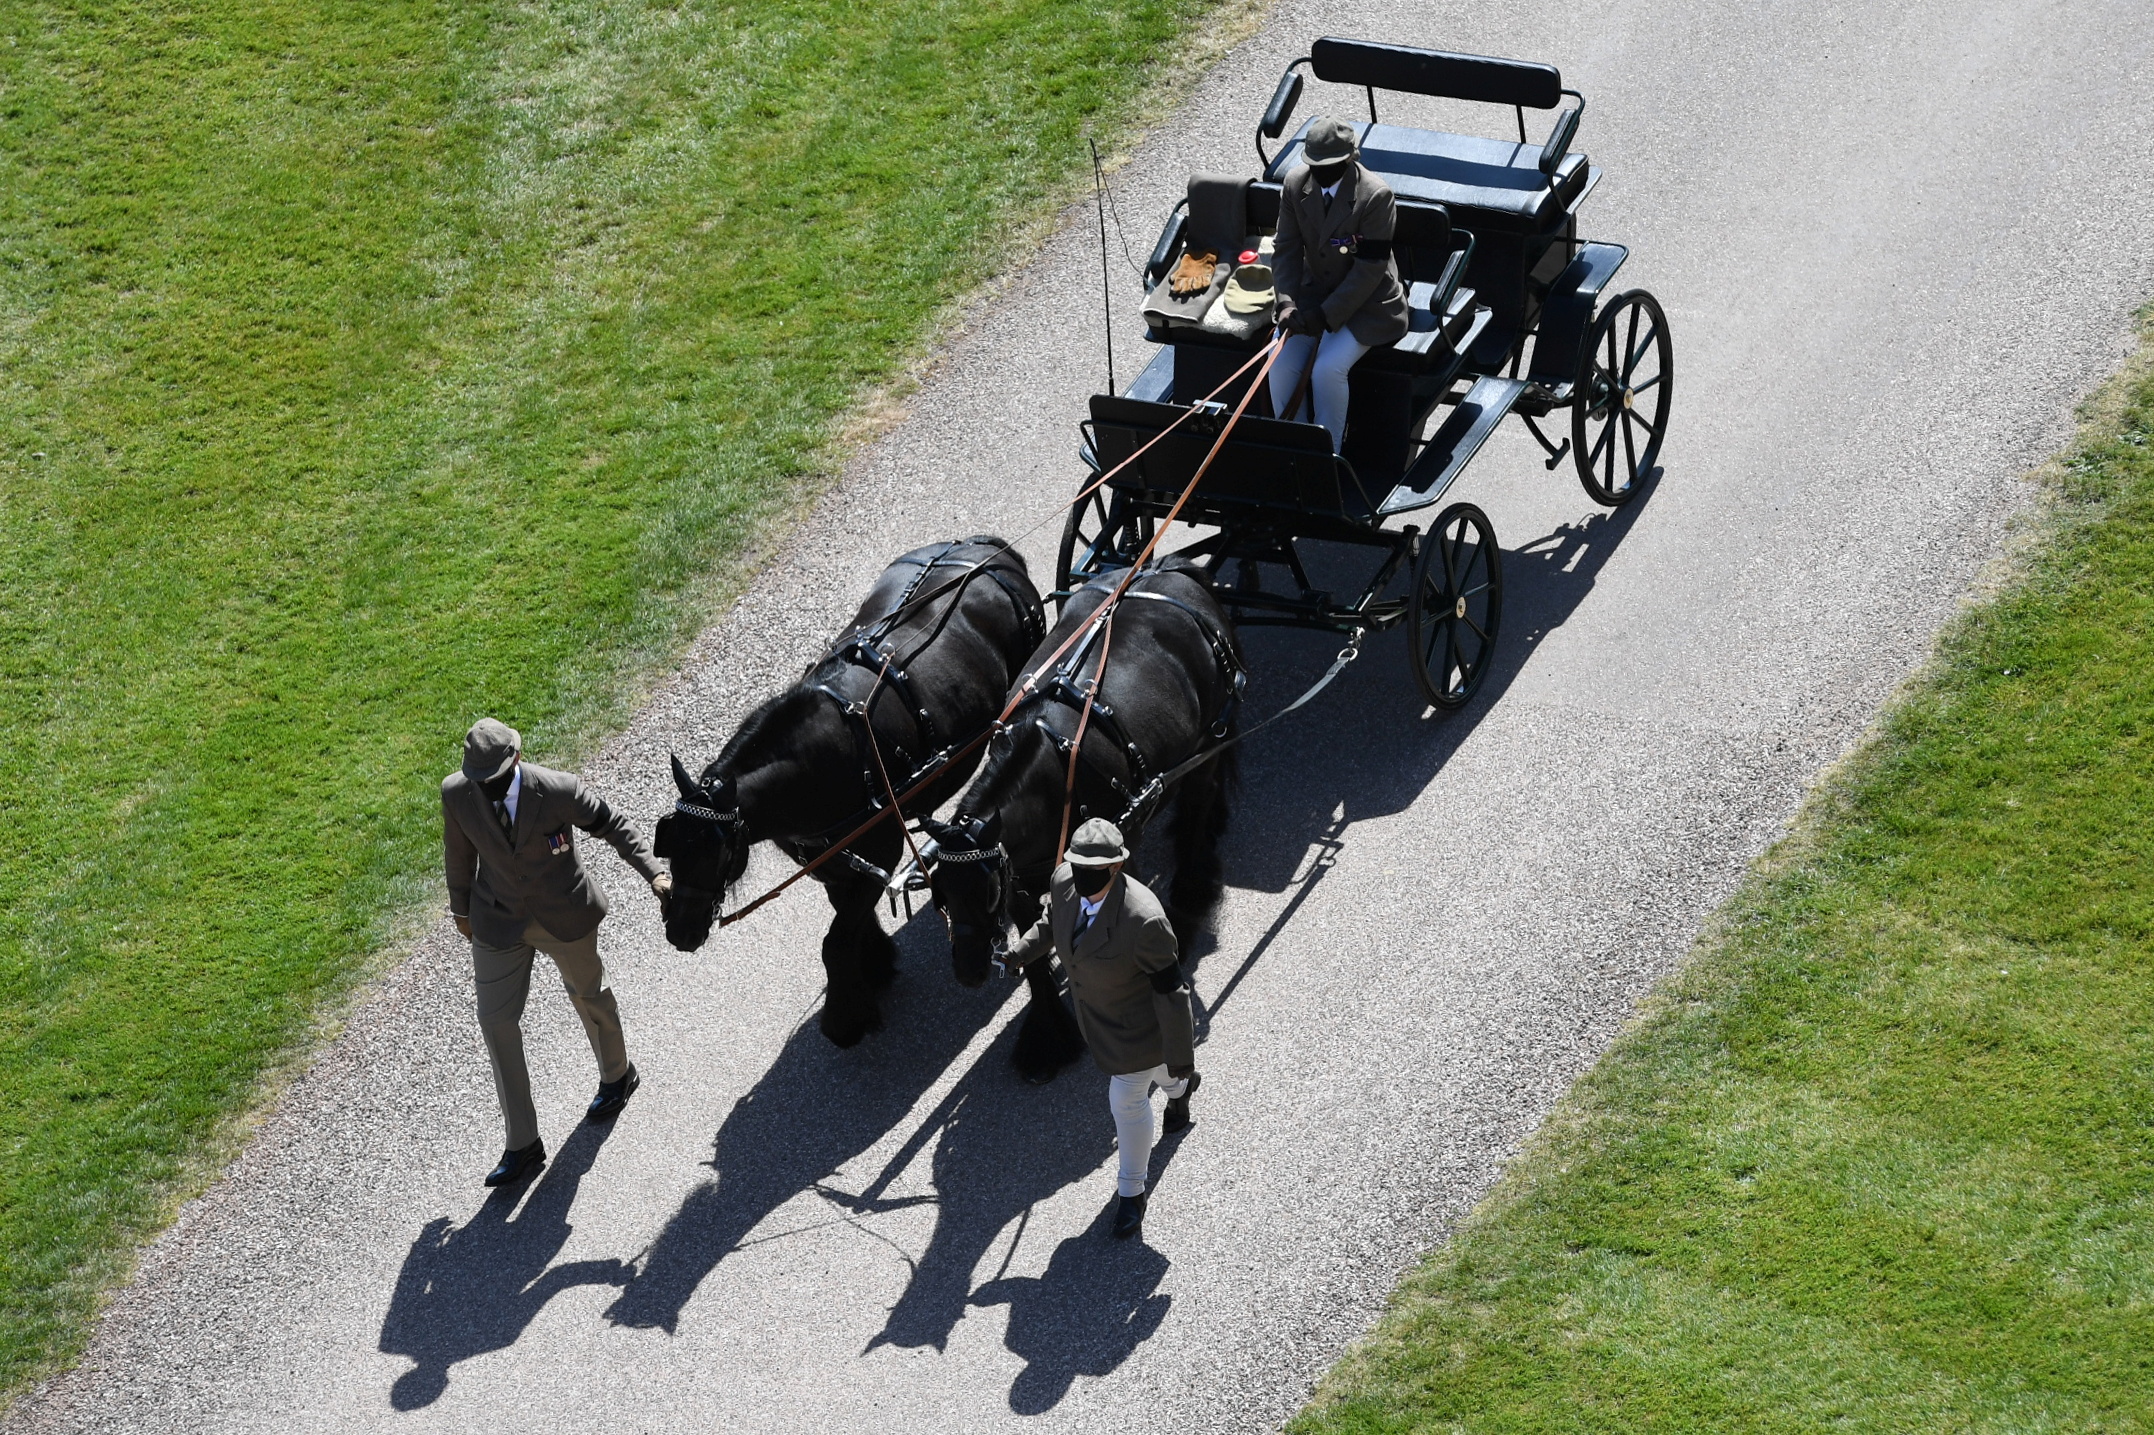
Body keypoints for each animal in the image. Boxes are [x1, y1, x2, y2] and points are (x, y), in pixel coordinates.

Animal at [659, 534, 1046, 1038]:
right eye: (670, 844)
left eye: (716, 852)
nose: (679, 932)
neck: (818, 765)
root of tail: (986, 548)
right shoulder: (833, 861)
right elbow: (847, 920)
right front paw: (875, 965)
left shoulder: (879, 852)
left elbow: (836, 941)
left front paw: (846, 1016)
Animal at [926, 555, 1249, 1073]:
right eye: (940, 892)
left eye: (987, 891)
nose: (970, 970)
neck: (1052, 768)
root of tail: (1167, 568)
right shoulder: (1022, 879)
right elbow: (1034, 953)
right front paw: (1047, 1035)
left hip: (1209, 735)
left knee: (1200, 803)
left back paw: (1190, 891)